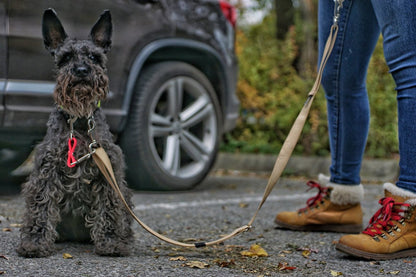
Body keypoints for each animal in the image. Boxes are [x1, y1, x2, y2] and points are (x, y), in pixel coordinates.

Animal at [15, 10, 133, 256]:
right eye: (66, 57)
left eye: (95, 57)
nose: (81, 70)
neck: (78, 123)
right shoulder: (47, 171)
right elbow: (41, 206)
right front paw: (35, 242)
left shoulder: (108, 171)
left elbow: (109, 208)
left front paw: (111, 241)